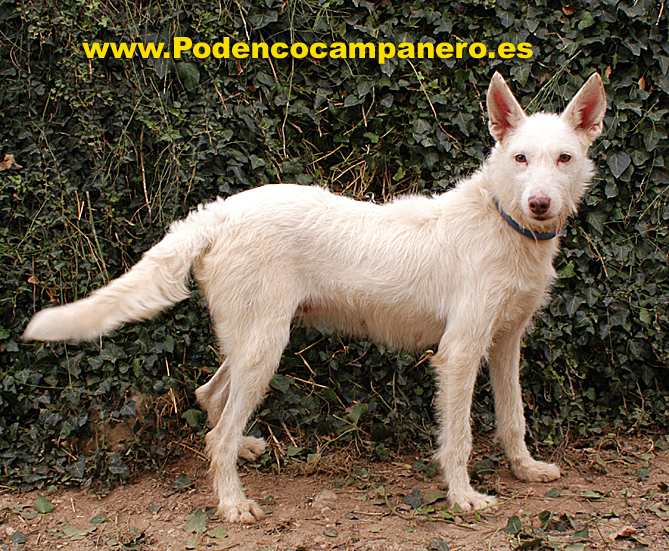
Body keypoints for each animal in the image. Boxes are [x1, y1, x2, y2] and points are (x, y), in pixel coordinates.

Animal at [24, 72, 606, 523]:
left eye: (564, 158)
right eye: (520, 158)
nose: (539, 204)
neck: (503, 221)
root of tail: (219, 212)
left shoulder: (506, 342)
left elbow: (514, 417)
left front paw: (524, 469)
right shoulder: (460, 353)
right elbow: (458, 436)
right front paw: (463, 497)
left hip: (250, 342)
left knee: (210, 398)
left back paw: (243, 449)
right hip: (265, 345)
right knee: (217, 431)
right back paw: (231, 503)